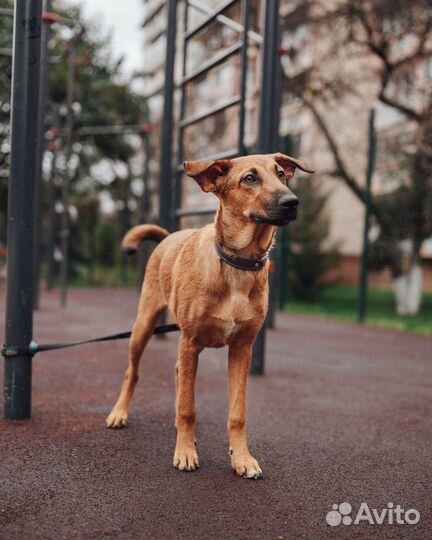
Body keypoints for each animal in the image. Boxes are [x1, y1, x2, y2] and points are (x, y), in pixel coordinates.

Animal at [106, 152, 312, 476]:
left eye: (281, 174)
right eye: (249, 178)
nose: (292, 202)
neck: (238, 264)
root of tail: (169, 237)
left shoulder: (242, 348)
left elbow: (237, 412)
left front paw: (241, 457)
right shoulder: (191, 342)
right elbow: (188, 407)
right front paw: (185, 451)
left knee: (178, 372)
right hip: (144, 326)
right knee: (133, 372)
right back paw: (119, 413)